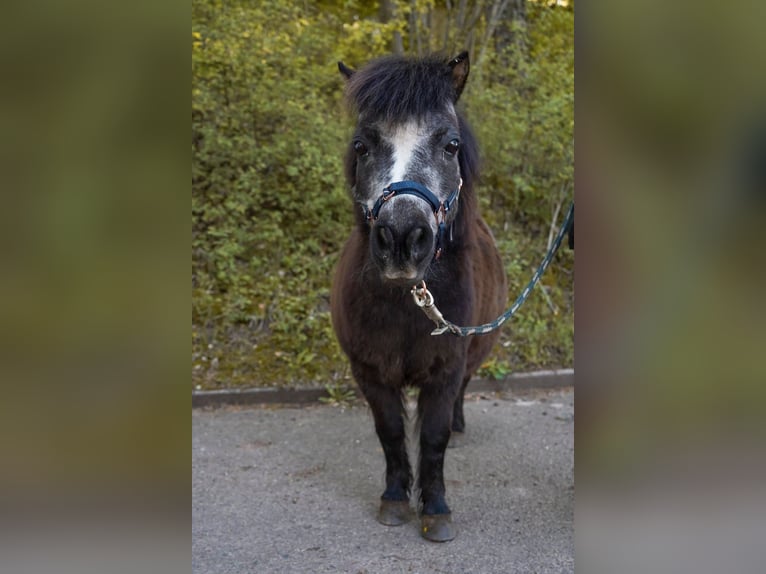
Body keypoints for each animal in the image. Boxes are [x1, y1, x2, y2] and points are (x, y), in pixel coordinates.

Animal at [332, 51, 508, 544]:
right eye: (361, 146)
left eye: (451, 145)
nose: (401, 240)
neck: (407, 302)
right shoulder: (370, 370)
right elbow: (391, 432)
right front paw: (395, 498)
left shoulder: (445, 370)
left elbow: (433, 436)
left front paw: (436, 508)